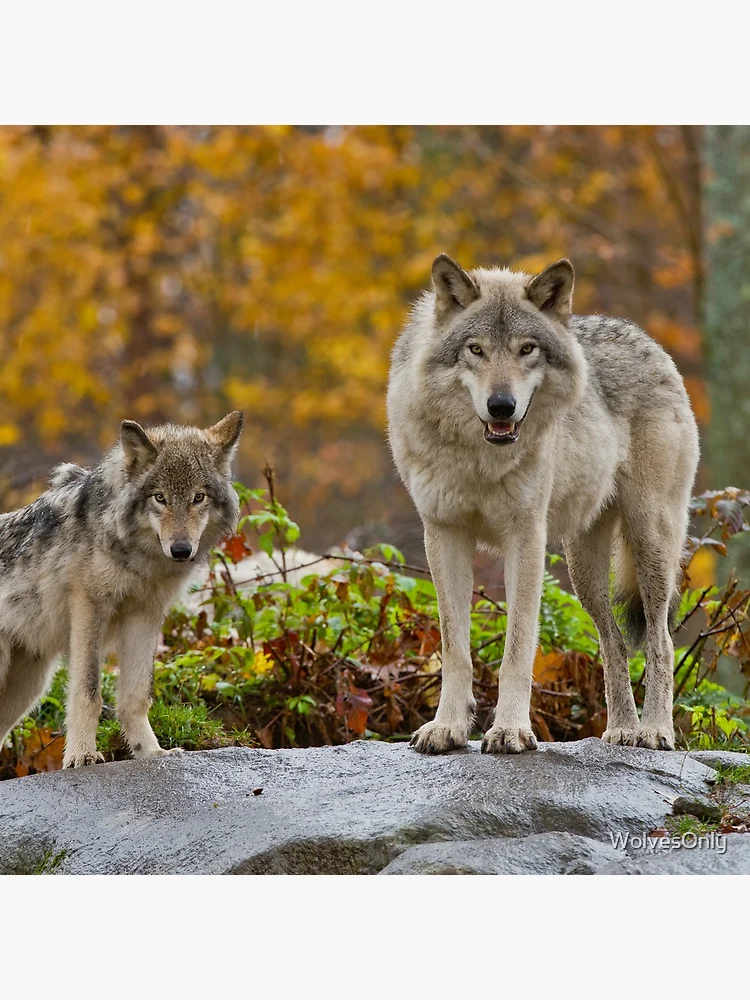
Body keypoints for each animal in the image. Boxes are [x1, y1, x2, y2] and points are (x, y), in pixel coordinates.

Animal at [0, 411, 243, 767]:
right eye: (160, 498)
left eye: (198, 497)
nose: (181, 550)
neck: (141, 560)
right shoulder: (89, 606)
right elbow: (89, 693)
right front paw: (82, 755)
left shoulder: (145, 615)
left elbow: (135, 697)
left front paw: (151, 751)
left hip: (27, 688)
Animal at [387, 254, 699, 755]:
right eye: (475, 350)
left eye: (527, 349)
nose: (501, 406)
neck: (480, 458)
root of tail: (646, 338)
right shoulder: (443, 534)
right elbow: (455, 647)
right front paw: (448, 727)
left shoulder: (526, 537)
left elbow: (517, 647)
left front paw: (510, 730)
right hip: (583, 570)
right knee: (612, 641)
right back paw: (621, 730)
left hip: (650, 541)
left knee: (660, 639)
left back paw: (654, 730)